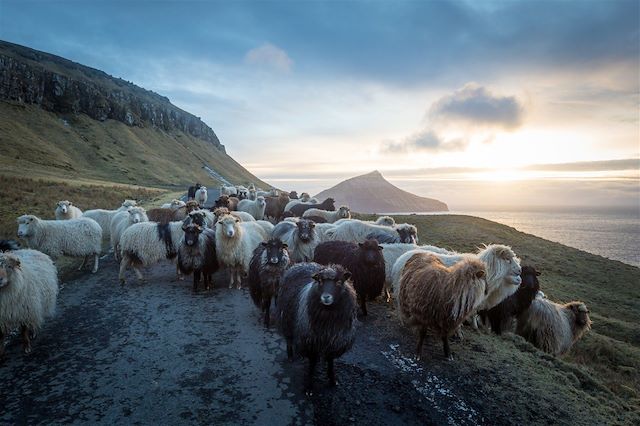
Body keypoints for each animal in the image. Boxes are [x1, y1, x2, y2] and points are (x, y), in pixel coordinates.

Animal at [276, 262, 358, 396]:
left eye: (339, 282)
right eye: (320, 281)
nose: (326, 297)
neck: (328, 318)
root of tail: (299, 264)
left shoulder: (334, 341)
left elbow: (330, 361)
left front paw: (332, 380)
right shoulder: (311, 341)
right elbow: (312, 364)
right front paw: (309, 386)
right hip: (287, 318)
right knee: (289, 339)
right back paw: (291, 356)